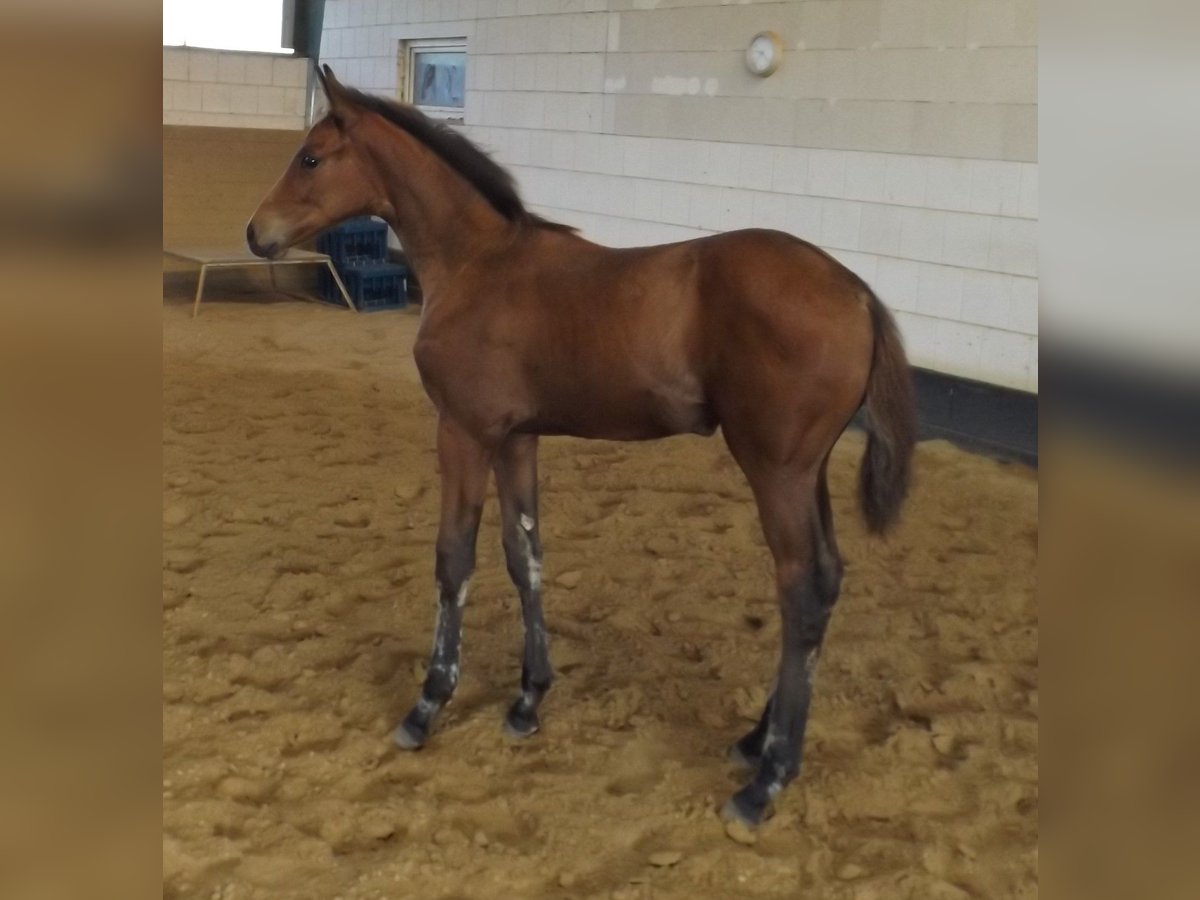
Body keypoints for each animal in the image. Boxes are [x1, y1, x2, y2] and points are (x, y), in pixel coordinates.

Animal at [248, 68, 912, 830]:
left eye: (311, 158)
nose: (256, 232)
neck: (478, 264)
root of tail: (857, 292)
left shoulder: (463, 431)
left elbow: (454, 560)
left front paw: (428, 705)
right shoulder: (516, 438)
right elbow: (524, 554)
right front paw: (528, 699)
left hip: (776, 470)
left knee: (801, 588)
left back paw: (766, 779)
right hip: (810, 471)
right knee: (827, 580)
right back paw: (754, 740)